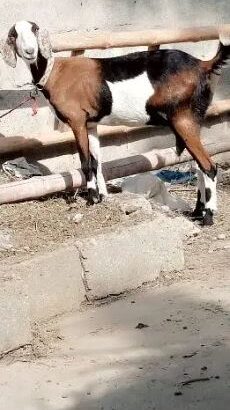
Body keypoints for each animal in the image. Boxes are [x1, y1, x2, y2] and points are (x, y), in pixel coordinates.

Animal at [1, 21, 230, 226]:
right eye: (14, 34)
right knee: (200, 167)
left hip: (183, 119)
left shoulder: (77, 120)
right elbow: (97, 161)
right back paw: (197, 212)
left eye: (34, 29)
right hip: (192, 120)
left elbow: (86, 162)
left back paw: (208, 217)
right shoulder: (91, 123)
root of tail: (202, 65)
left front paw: (92, 199)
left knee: (209, 167)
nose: (30, 51)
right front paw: (103, 197)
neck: (54, 72)